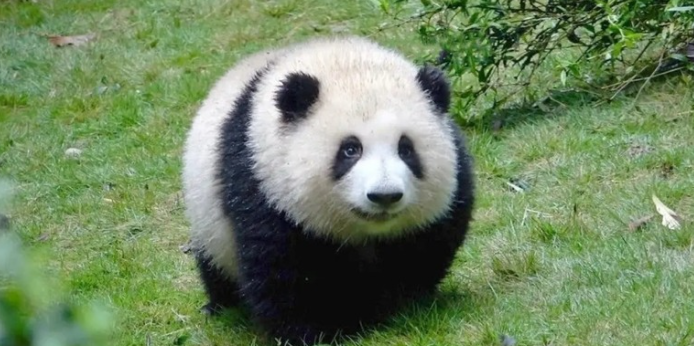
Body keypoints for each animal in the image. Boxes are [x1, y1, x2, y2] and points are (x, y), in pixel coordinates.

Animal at [182, 35, 476, 344]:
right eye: (350, 150)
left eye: (406, 149)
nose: (384, 196)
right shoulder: (260, 182)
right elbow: (281, 269)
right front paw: (312, 331)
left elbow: (423, 252)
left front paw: (398, 308)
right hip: (207, 217)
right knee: (214, 265)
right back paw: (218, 306)